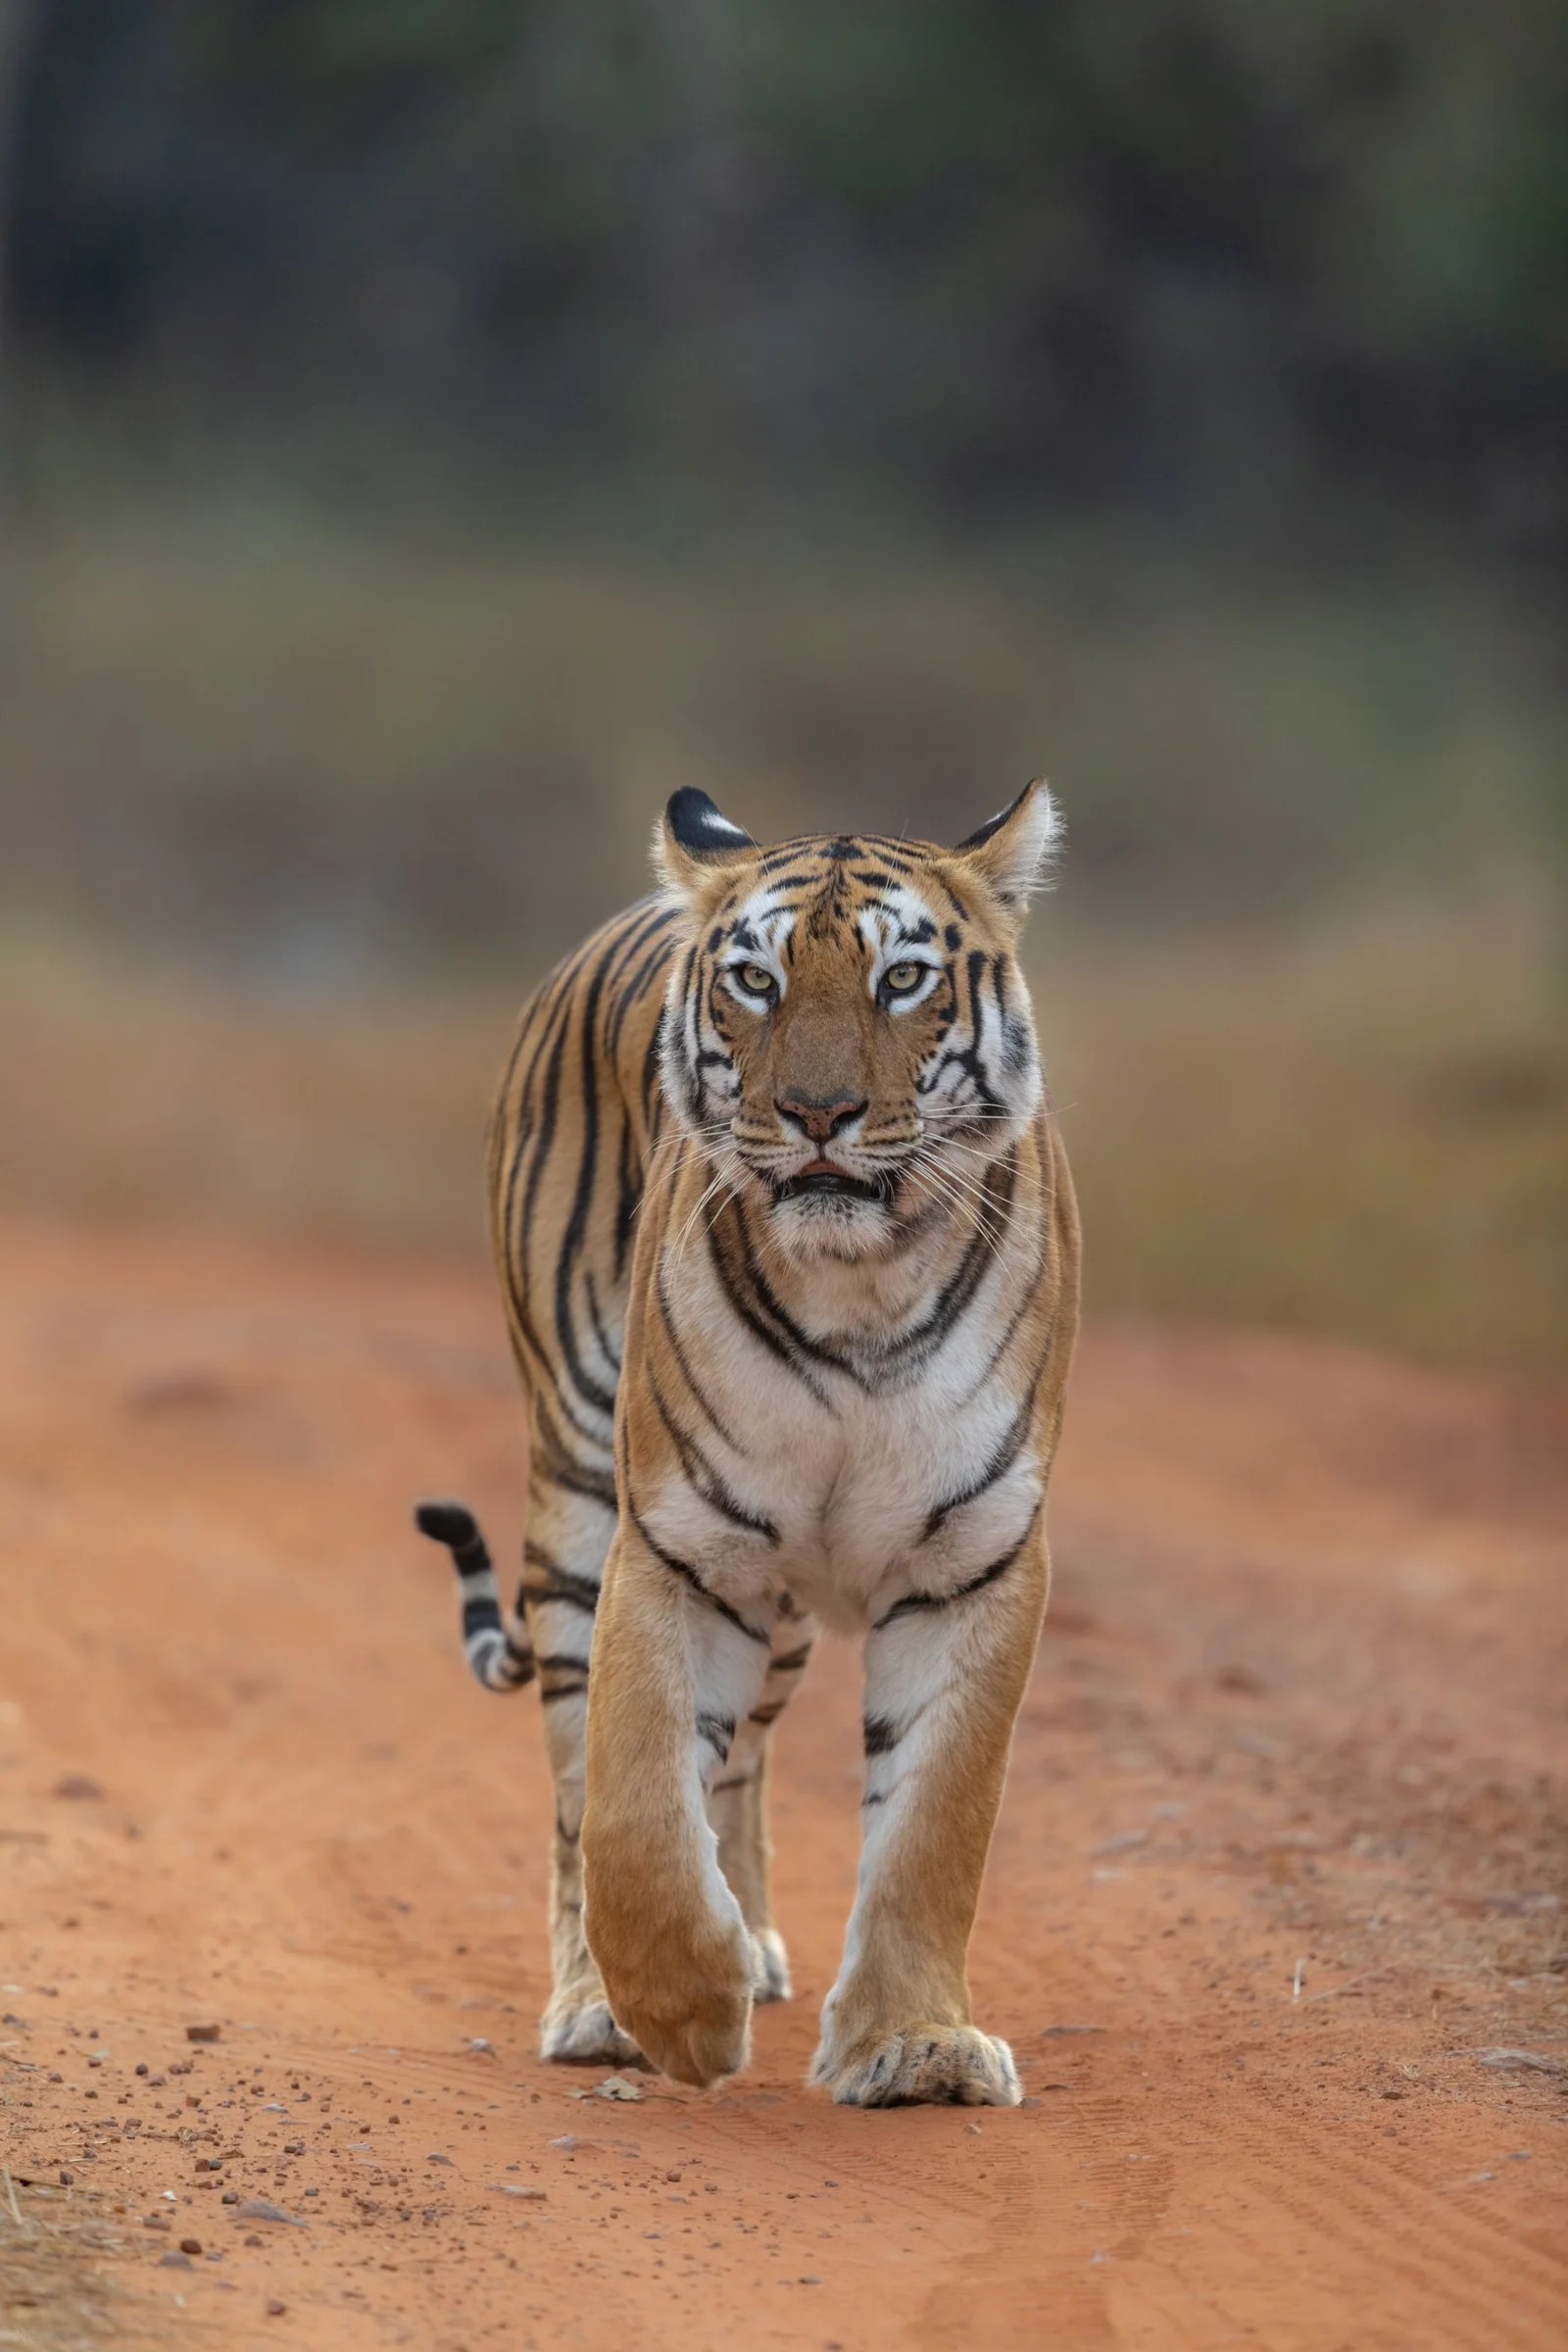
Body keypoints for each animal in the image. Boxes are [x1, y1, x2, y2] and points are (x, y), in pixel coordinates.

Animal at [417, 780, 1080, 2106]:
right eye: (757, 983)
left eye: (901, 979)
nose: (818, 1114)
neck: (861, 1291)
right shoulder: (677, 1546)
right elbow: (631, 1803)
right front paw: (676, 2012)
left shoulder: (973, 1560)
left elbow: (936, 1823)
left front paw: (915, 2045)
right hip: (577, 1491)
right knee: (581, 1784)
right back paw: (597, 2003)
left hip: (780, 1617)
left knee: (742, 1767)